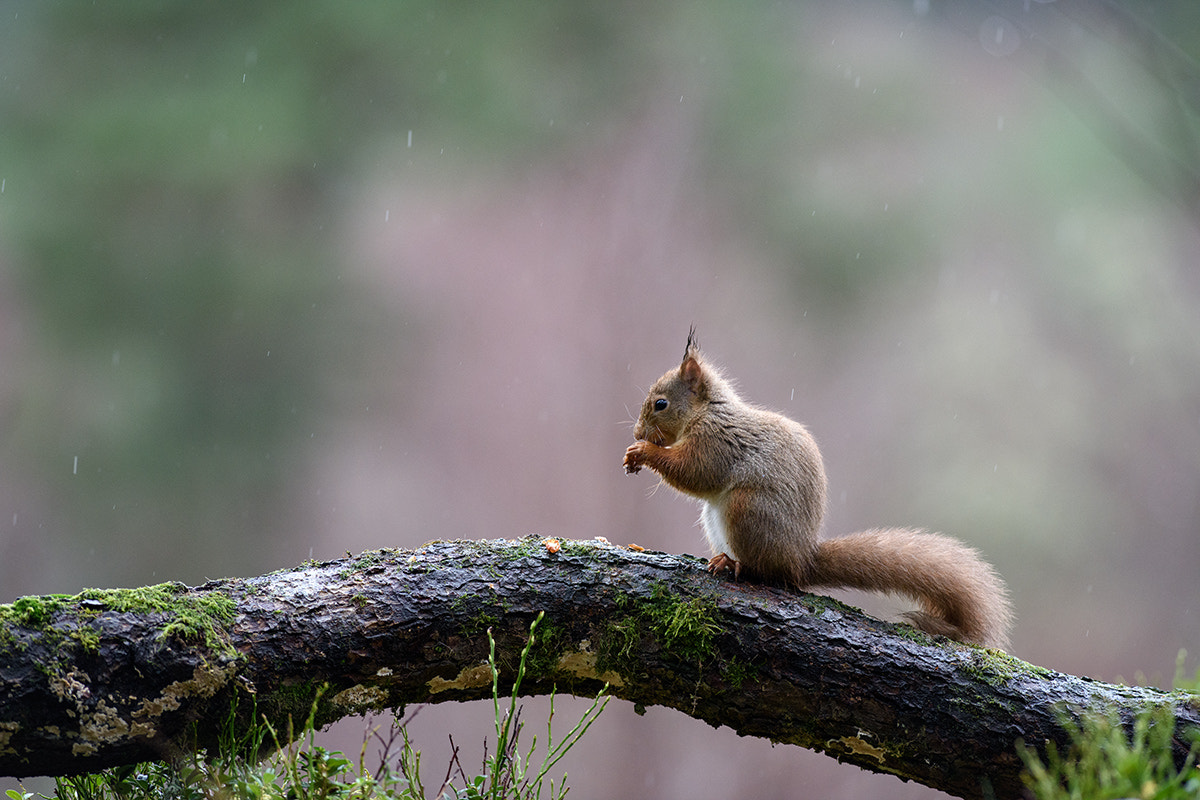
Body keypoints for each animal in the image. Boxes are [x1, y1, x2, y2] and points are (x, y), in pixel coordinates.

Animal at [628, 331, 1012, 652]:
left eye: (660, 404)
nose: (636, 433)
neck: (708, 411)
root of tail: (801, 560)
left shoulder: (716, 443)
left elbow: (695, 473)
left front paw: (644, 453)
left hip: (745, 509)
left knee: (766, 572)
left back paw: (735, 564)